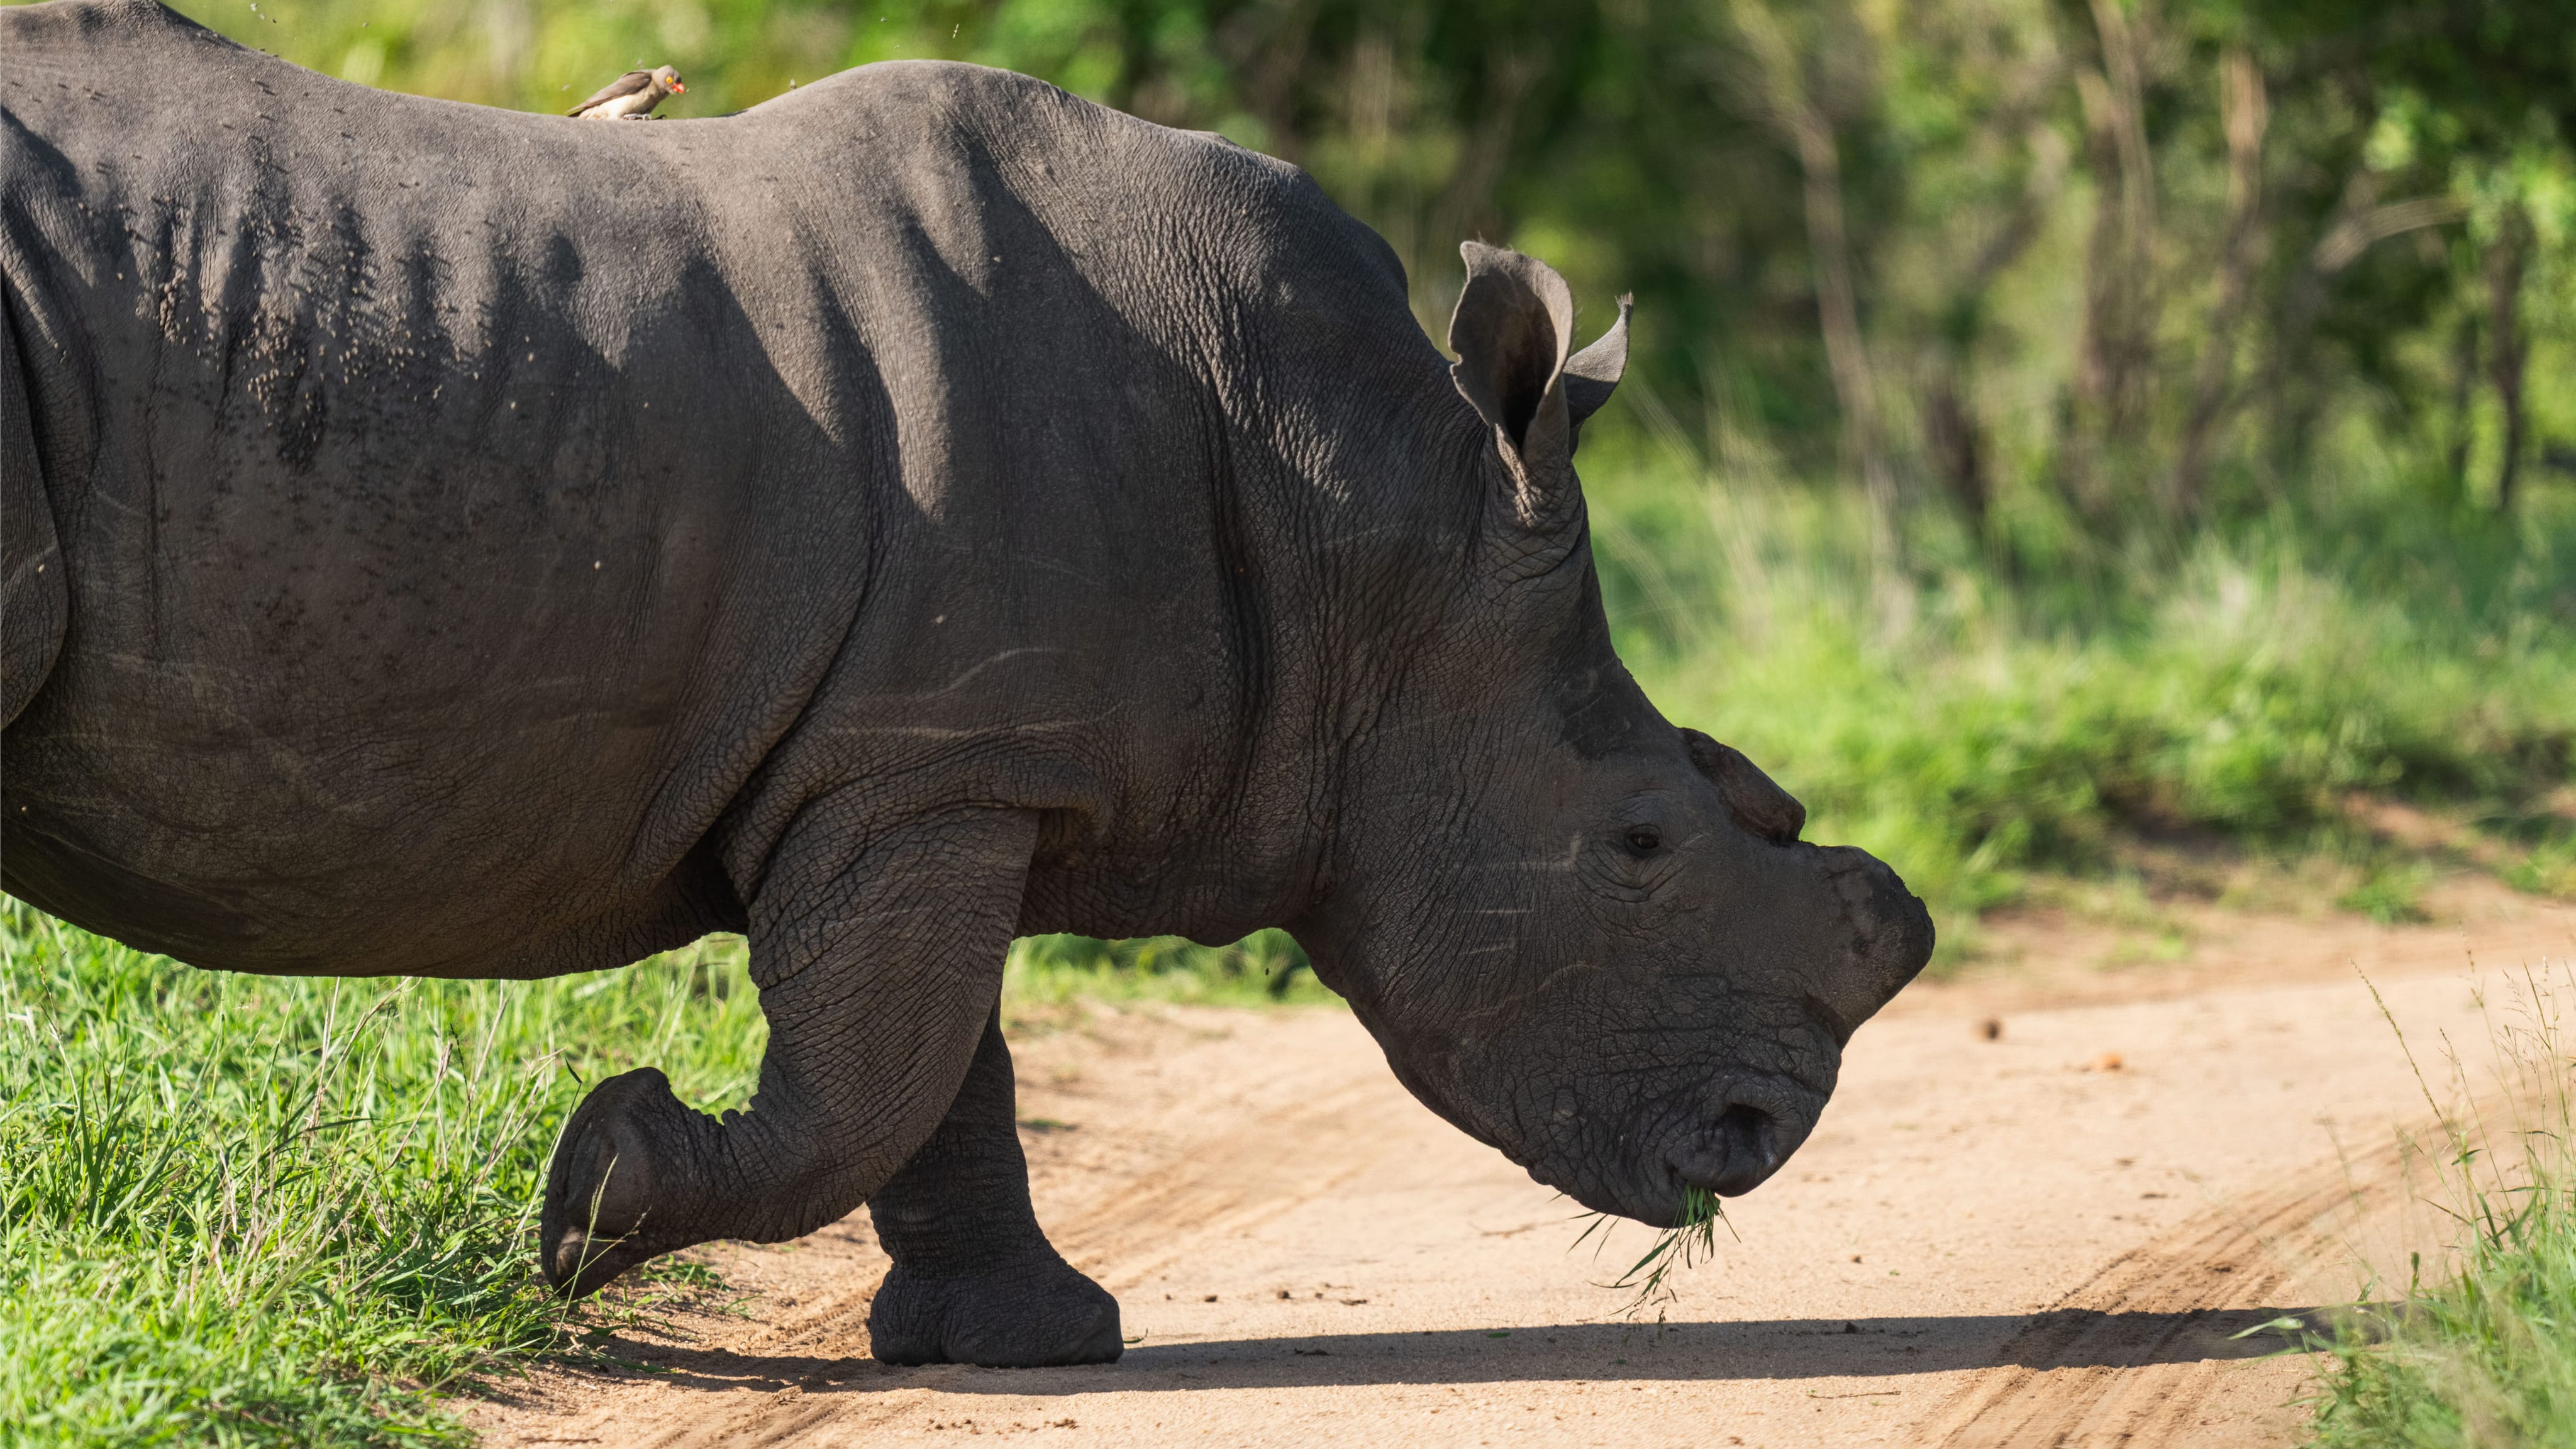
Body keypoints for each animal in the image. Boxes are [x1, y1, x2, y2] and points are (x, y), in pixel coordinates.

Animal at [0, 0, 1932, 1368]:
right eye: (1637, 845)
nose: (1758, 1136)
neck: (1369, 536)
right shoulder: (924, 767)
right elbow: (871, 1085)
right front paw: (593, 1191)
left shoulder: (949, 762)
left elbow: (942, 1075)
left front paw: (1030, 1345)